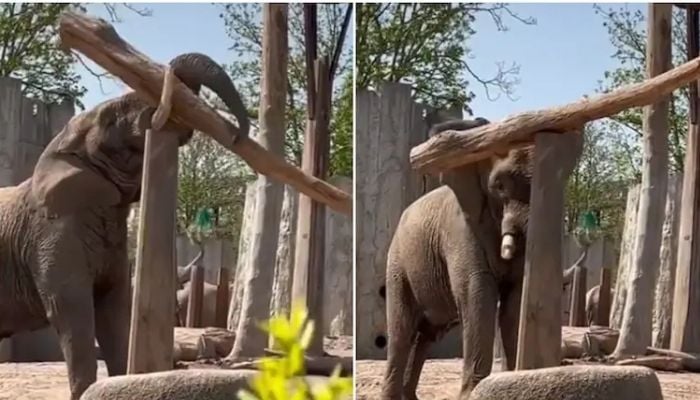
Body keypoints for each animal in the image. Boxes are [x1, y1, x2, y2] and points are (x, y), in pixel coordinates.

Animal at [381, 116, 582, 400]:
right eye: (499, 186)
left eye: (561, 180)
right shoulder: (461, 229)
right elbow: (478, 292)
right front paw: (474, 392)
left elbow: (514, 301)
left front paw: (512, 382)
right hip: (397, 264)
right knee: (402, 331)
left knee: (426, 335)